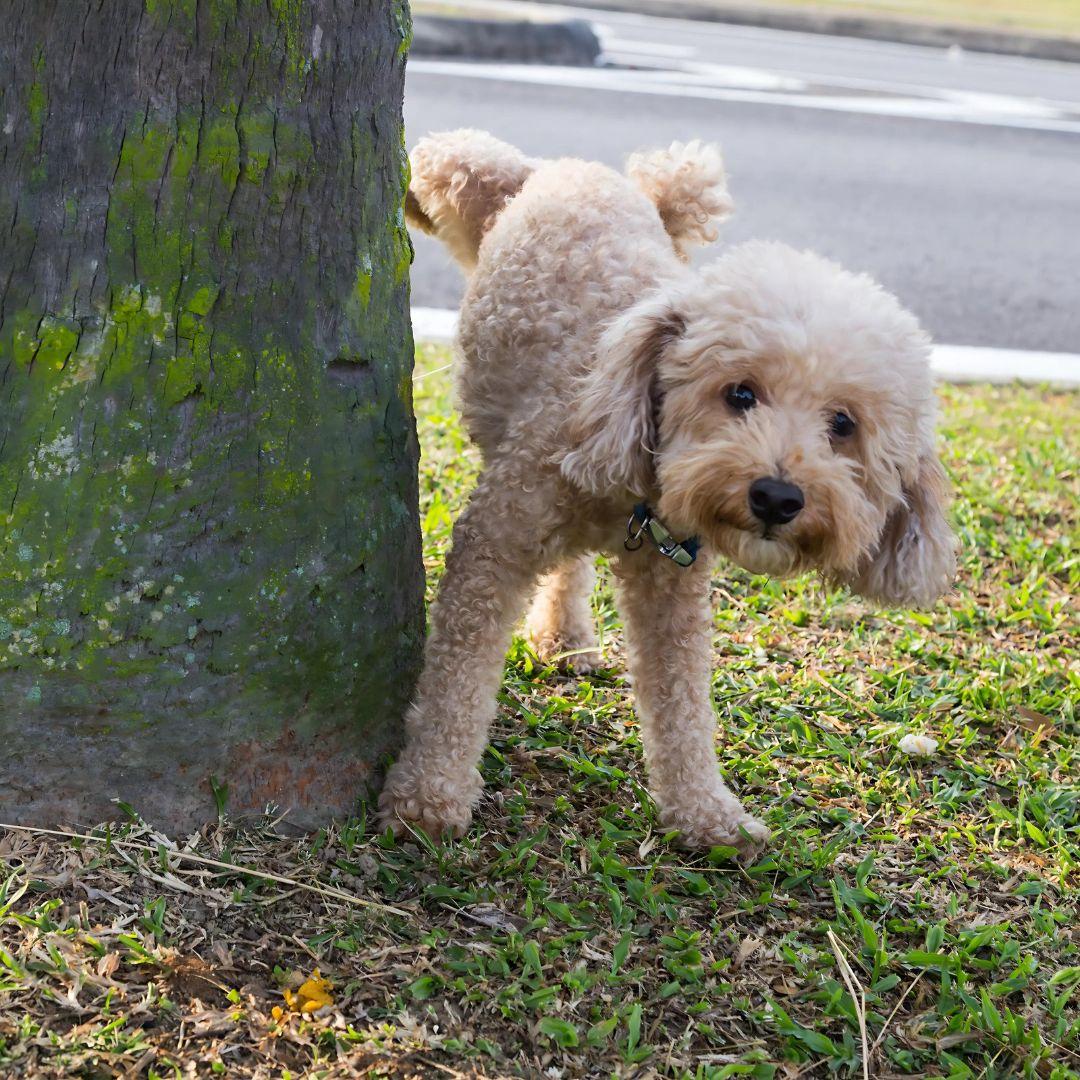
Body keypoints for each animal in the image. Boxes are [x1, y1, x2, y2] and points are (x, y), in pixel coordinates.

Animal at [378, 130, 954, 855]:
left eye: (843, 425)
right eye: (740, 393)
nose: (777, 497)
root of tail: (585, 171)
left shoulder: (671, 583)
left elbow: (681, 703)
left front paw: (706, 813)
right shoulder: (494, 544)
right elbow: (457, 680)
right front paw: (429, 794)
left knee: (572, 568)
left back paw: (566, 635)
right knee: (453, 154)